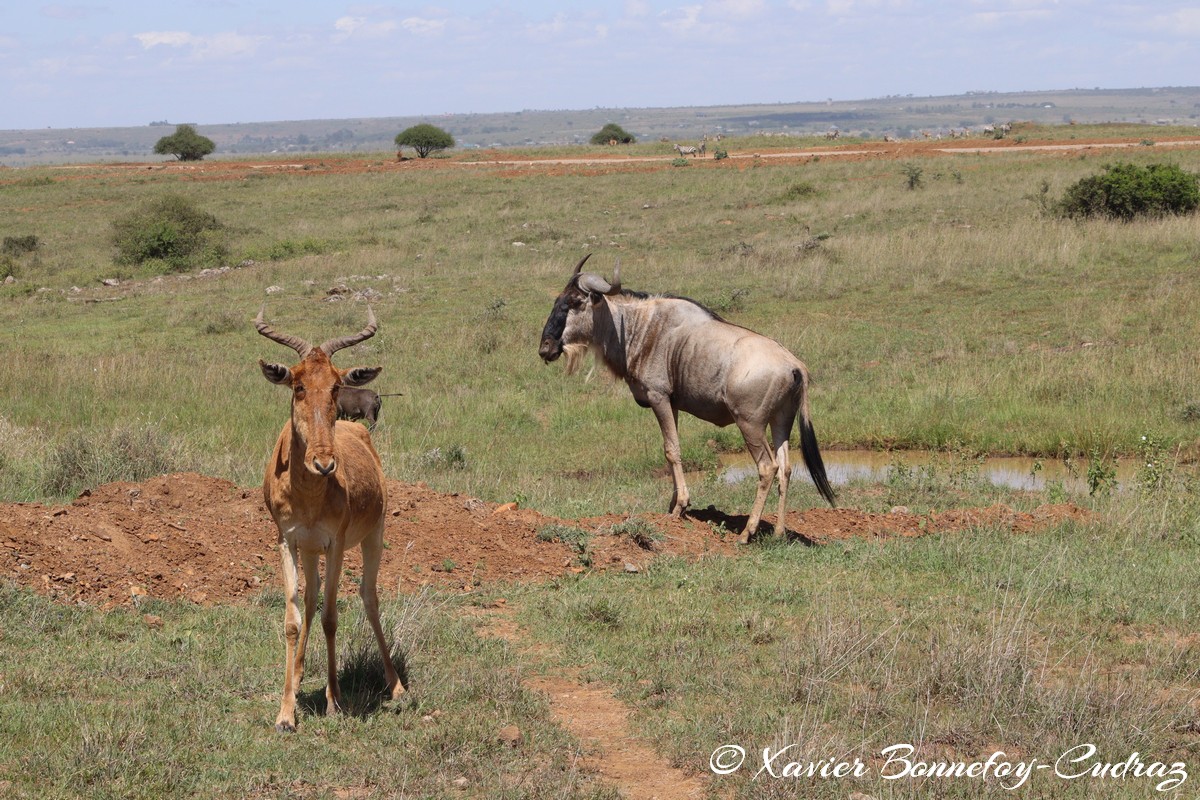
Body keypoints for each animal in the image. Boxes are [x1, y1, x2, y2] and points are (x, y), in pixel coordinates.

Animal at [253, 307, 403, 734]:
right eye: (297, 385)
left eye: (337, 385)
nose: (323, 462)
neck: (308, 494)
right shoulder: (288, 541)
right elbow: (293, 617)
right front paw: (286, 713)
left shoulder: (335, 544)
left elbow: (332, 617)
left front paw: (334, 701)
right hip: (310, 550)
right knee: (311, 596)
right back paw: (300, 674)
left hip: (372, 537)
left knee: (368, 597)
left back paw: (396, 686)